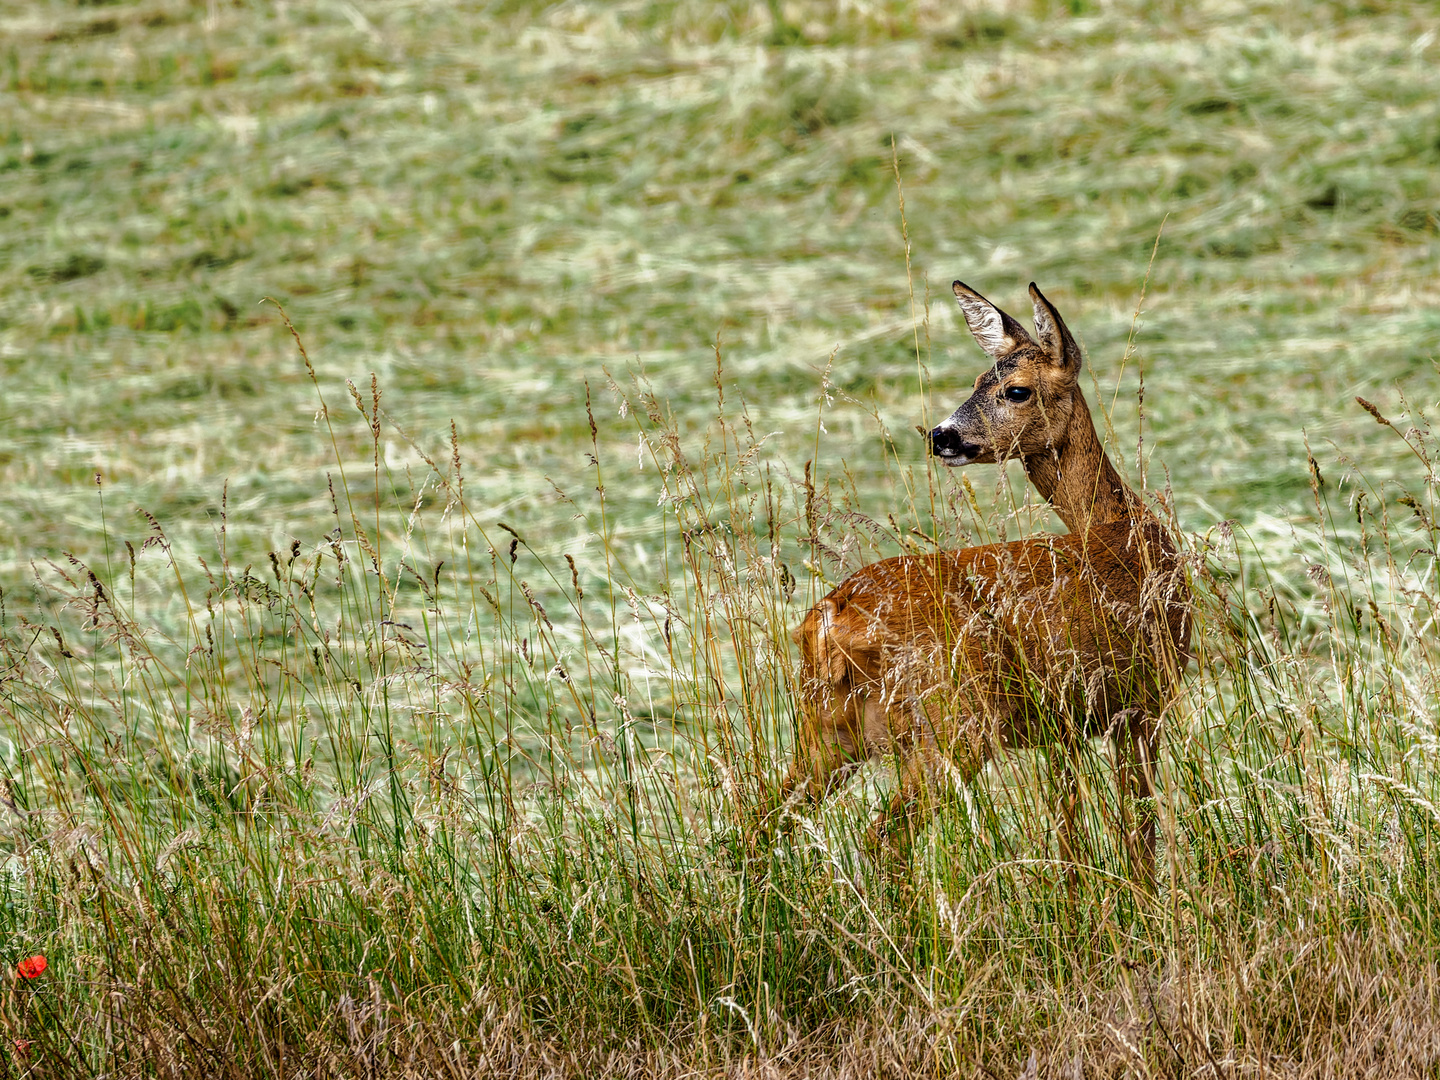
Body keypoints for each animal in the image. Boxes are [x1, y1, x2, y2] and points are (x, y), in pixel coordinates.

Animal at [783, 283, 1186, 881]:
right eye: (978, 381)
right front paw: (1143, 896)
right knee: (883, 836)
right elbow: (1139, 826)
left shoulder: (1061, 723)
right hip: (953, 721)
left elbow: (1069, 827)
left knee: (759, 818)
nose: (940, 435)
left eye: (1014, 390)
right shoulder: (1144, 699)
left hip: (828, 728)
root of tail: (832, 617)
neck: (1125, 534)